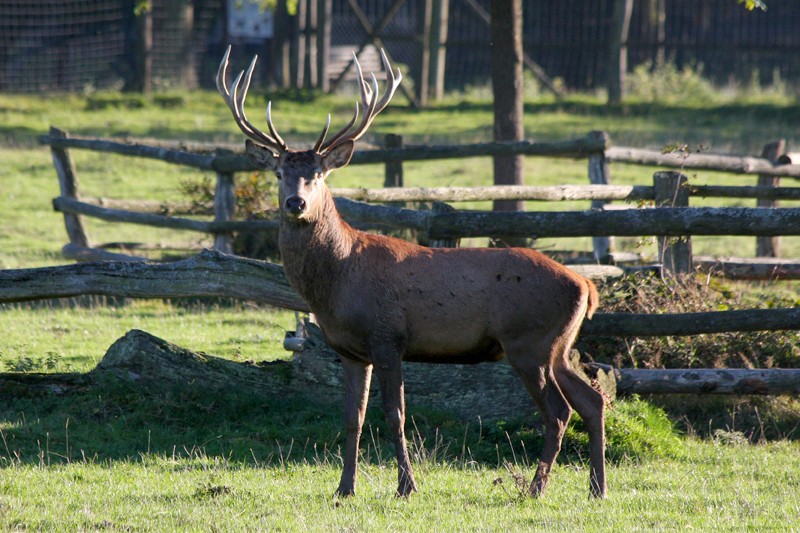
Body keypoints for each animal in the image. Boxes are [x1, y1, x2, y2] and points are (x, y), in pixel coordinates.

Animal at [216, 45, 604, 498]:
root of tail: (586, 285)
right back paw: (597, 488)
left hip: (529, 342)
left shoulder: (388, 337)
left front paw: (406, 485)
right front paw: (344, 488)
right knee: (593, 400)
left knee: (559, 411)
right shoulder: (349, 351)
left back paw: (536, 489)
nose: (296, 203)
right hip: (557, 347)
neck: (339, 280)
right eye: (279, 173)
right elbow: (353, 418)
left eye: (318, 174)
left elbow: (395, 414)